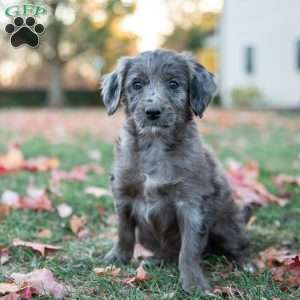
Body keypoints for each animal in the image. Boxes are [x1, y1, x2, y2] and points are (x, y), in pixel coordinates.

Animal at [101, 49, 251, 292]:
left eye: (173, 84)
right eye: (136, 84)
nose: (152, 112)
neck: (155, 145)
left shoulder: (190, 203)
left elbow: (189, 249)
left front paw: (193, 282)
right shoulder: (123, 195)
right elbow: (124, 231)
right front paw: (117, 257)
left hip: (228, 227)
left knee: (240, 245)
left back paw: (247, 263)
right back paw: (156, 259)